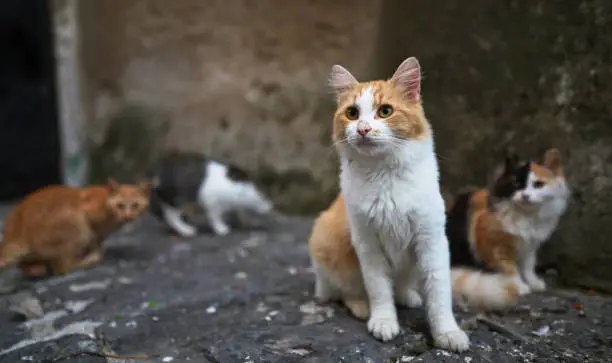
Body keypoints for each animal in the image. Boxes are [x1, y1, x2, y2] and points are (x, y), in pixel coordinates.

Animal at [0, 180, 152, 278]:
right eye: (120, 205)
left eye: (135, 205)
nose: (128, 216)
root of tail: (15, 233)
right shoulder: (89, 219)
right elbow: (95, 240)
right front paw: (94, 252)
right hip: (78, 228)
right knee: (63, 267)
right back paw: (90, 259)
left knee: (25, 266)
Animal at [308, 58, 470, 354]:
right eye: (352, 113)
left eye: (385, 111)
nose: (363, 129)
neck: (384, 175)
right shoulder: (367, 243)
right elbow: (379, 289)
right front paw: (383, 321)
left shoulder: (431, 240)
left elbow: (439, 295)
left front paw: (447, 333)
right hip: (328, 248)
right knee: (344, 291)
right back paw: (361, 307)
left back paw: (408, 296)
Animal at [444, 148, 568, 310]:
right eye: (515, 182)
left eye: (538, 184)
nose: (525, 195)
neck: (525, 215)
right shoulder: (496, 247)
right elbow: (510, 268)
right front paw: (520, 286)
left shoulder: (530, 246)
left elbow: (528, 266)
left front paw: (533, 282)